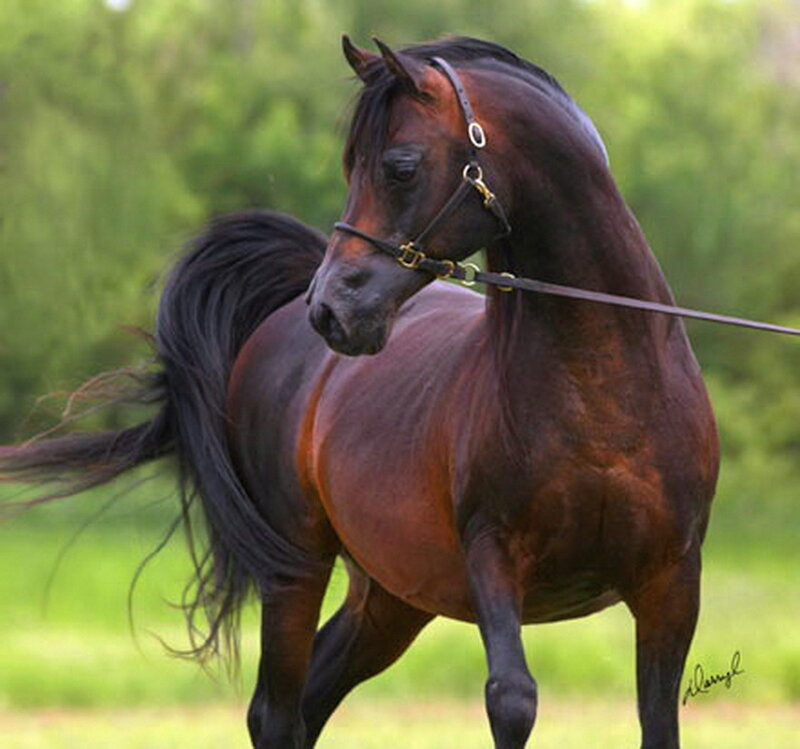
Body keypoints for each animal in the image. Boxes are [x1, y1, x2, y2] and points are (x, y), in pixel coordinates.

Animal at [0, 36, 719, 749]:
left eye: (400, 168)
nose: (332, 311)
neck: (601, 395)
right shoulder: (493, 555)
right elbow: (511, 699)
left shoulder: (672, 581)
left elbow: (658, 716)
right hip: (297, 569)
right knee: (276, 713)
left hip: (391, 598)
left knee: (312, 696)